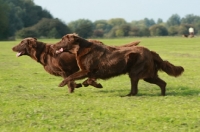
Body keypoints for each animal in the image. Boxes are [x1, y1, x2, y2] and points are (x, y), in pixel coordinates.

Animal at [52, 33, 184, 96]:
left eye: (62, 40)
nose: (52, 45)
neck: (81, 48)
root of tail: (150, 52)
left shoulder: (86, 70)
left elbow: (72, 76)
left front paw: (61, 83)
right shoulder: (90, 72)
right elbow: (87, 80)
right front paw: (96, 84)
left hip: (136, 73)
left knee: (135, 90)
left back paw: (127, 96)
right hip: (148, 75)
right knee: (162, 83)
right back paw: (162, 95)